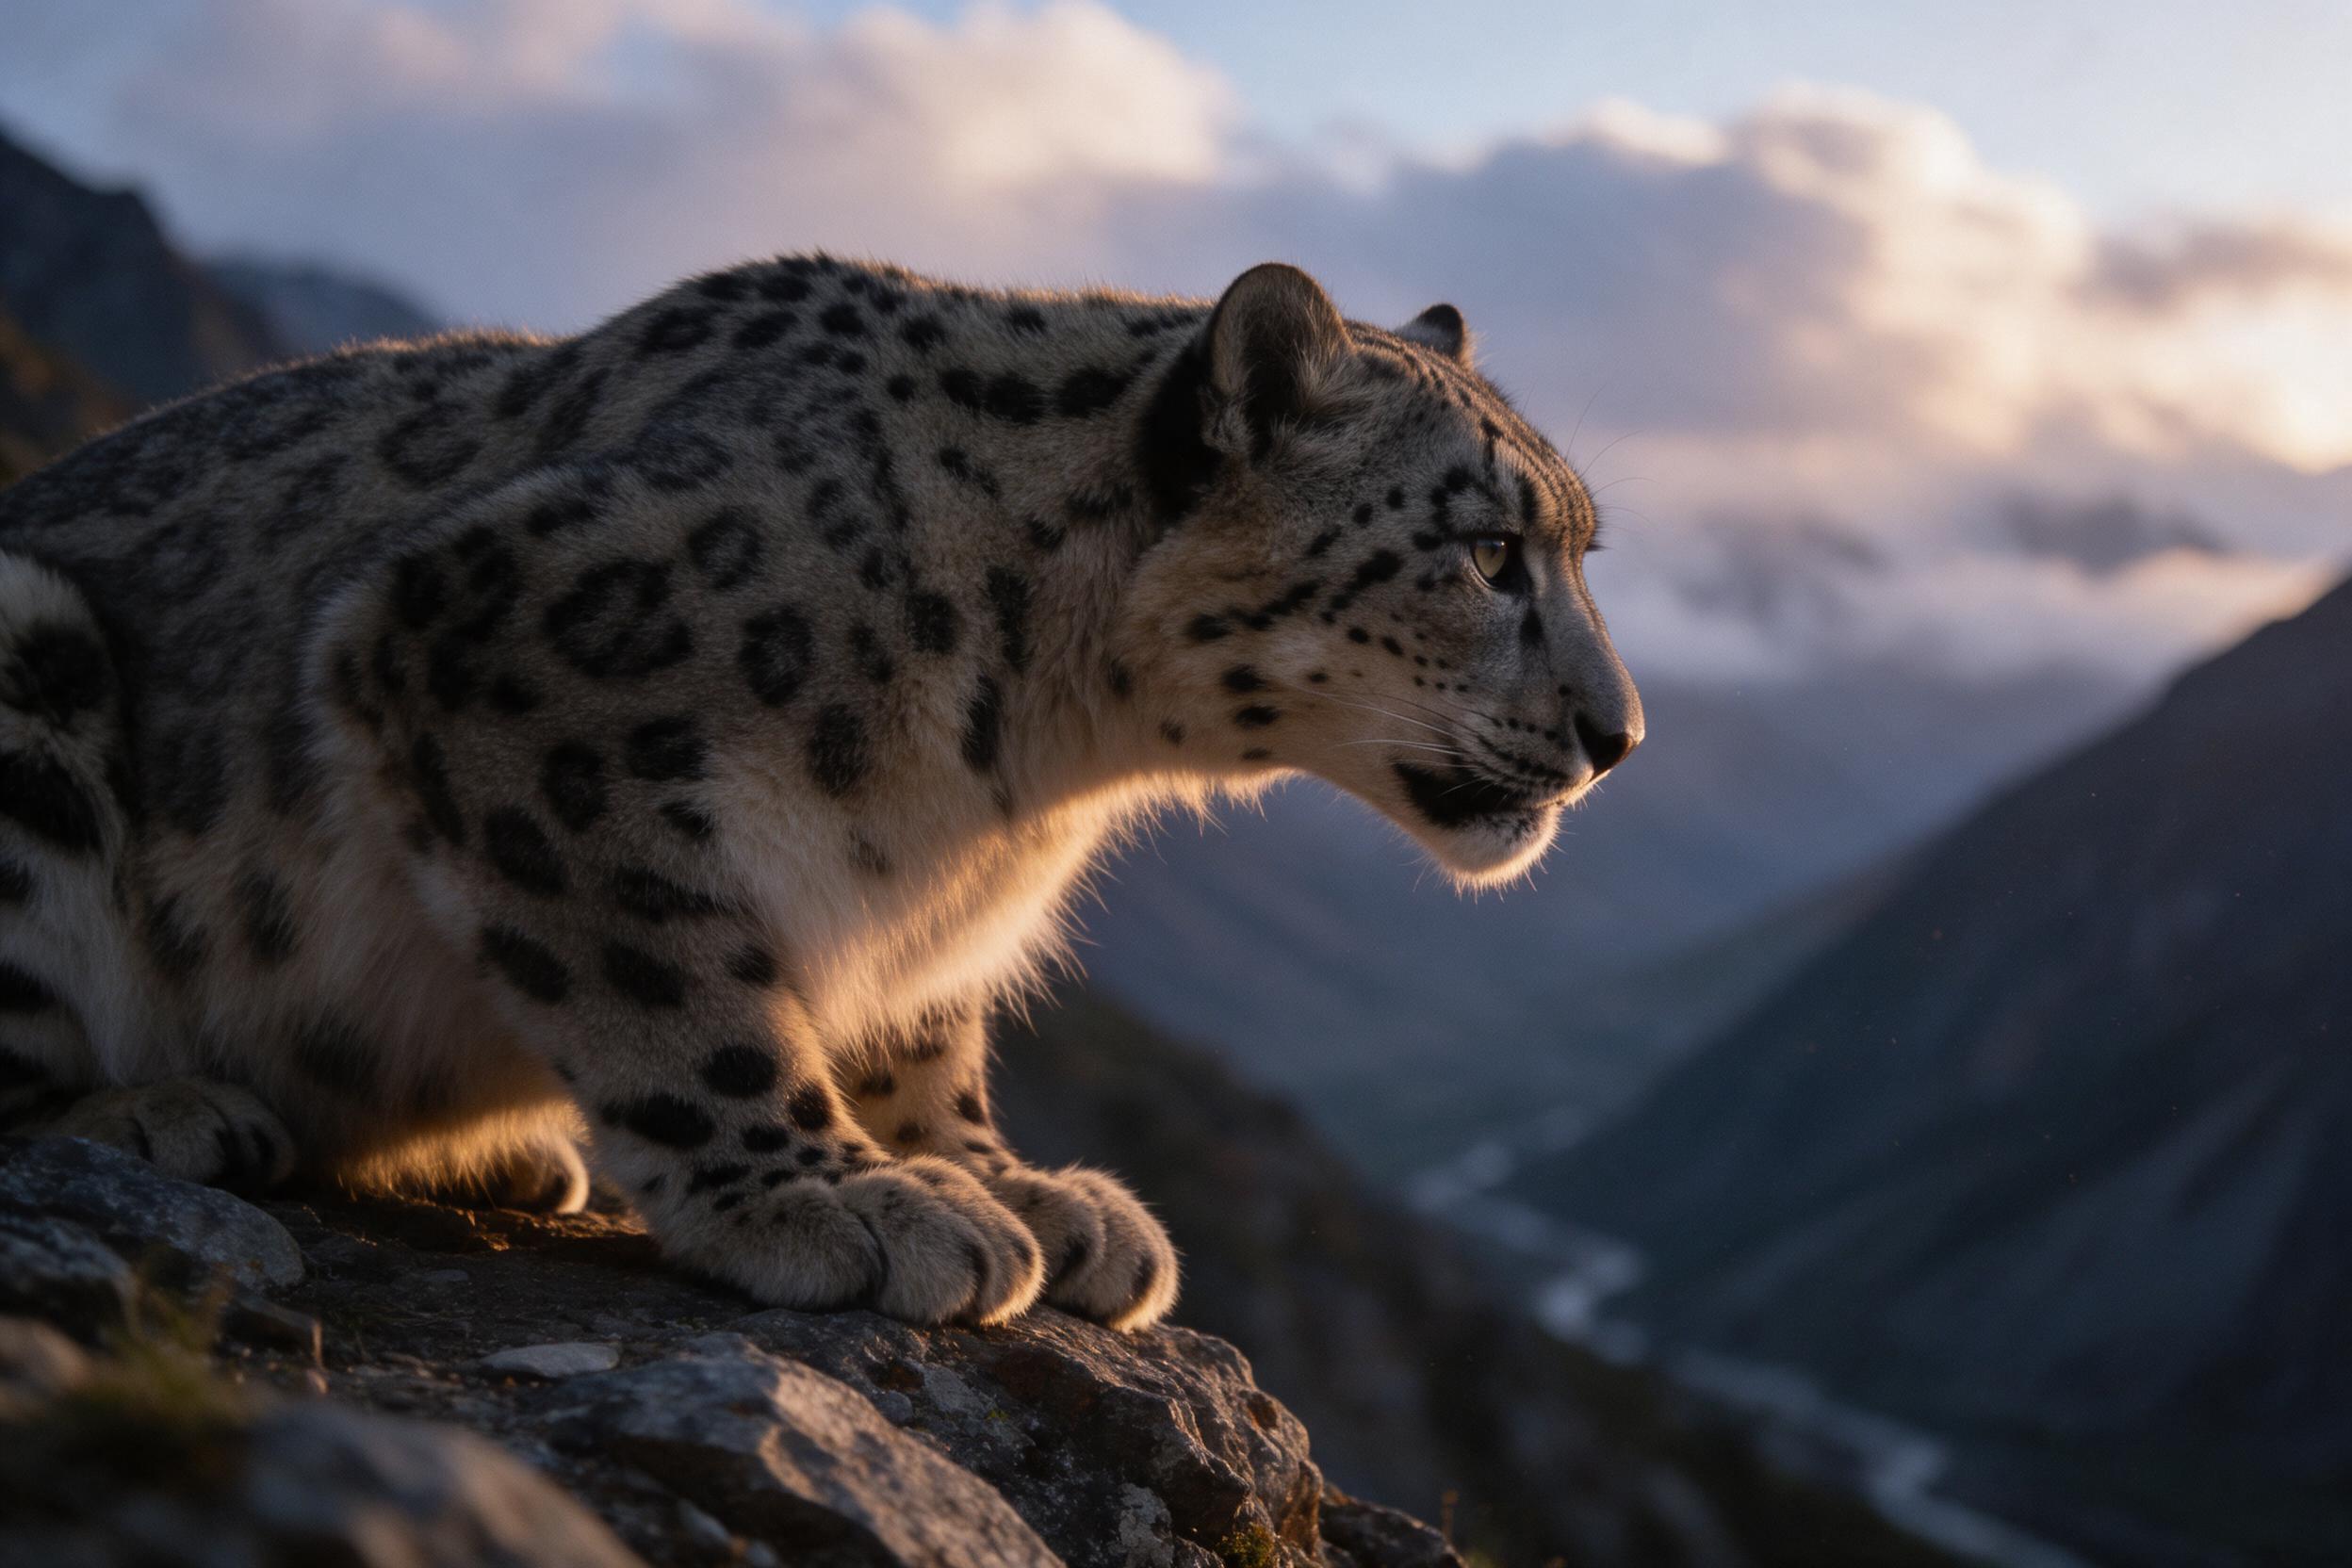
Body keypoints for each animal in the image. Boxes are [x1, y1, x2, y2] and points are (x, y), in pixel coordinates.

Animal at [0, 256, 1641, 1330]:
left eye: (1581, 546)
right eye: (1487, 548)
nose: (1619, 734)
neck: (1029, 763)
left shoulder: (928, 910)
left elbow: (918, 1025)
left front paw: (1006, 1183)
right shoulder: (500, 657)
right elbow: (671, 980)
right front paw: (836, 1200)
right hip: (35, 655)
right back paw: (166, 1110)